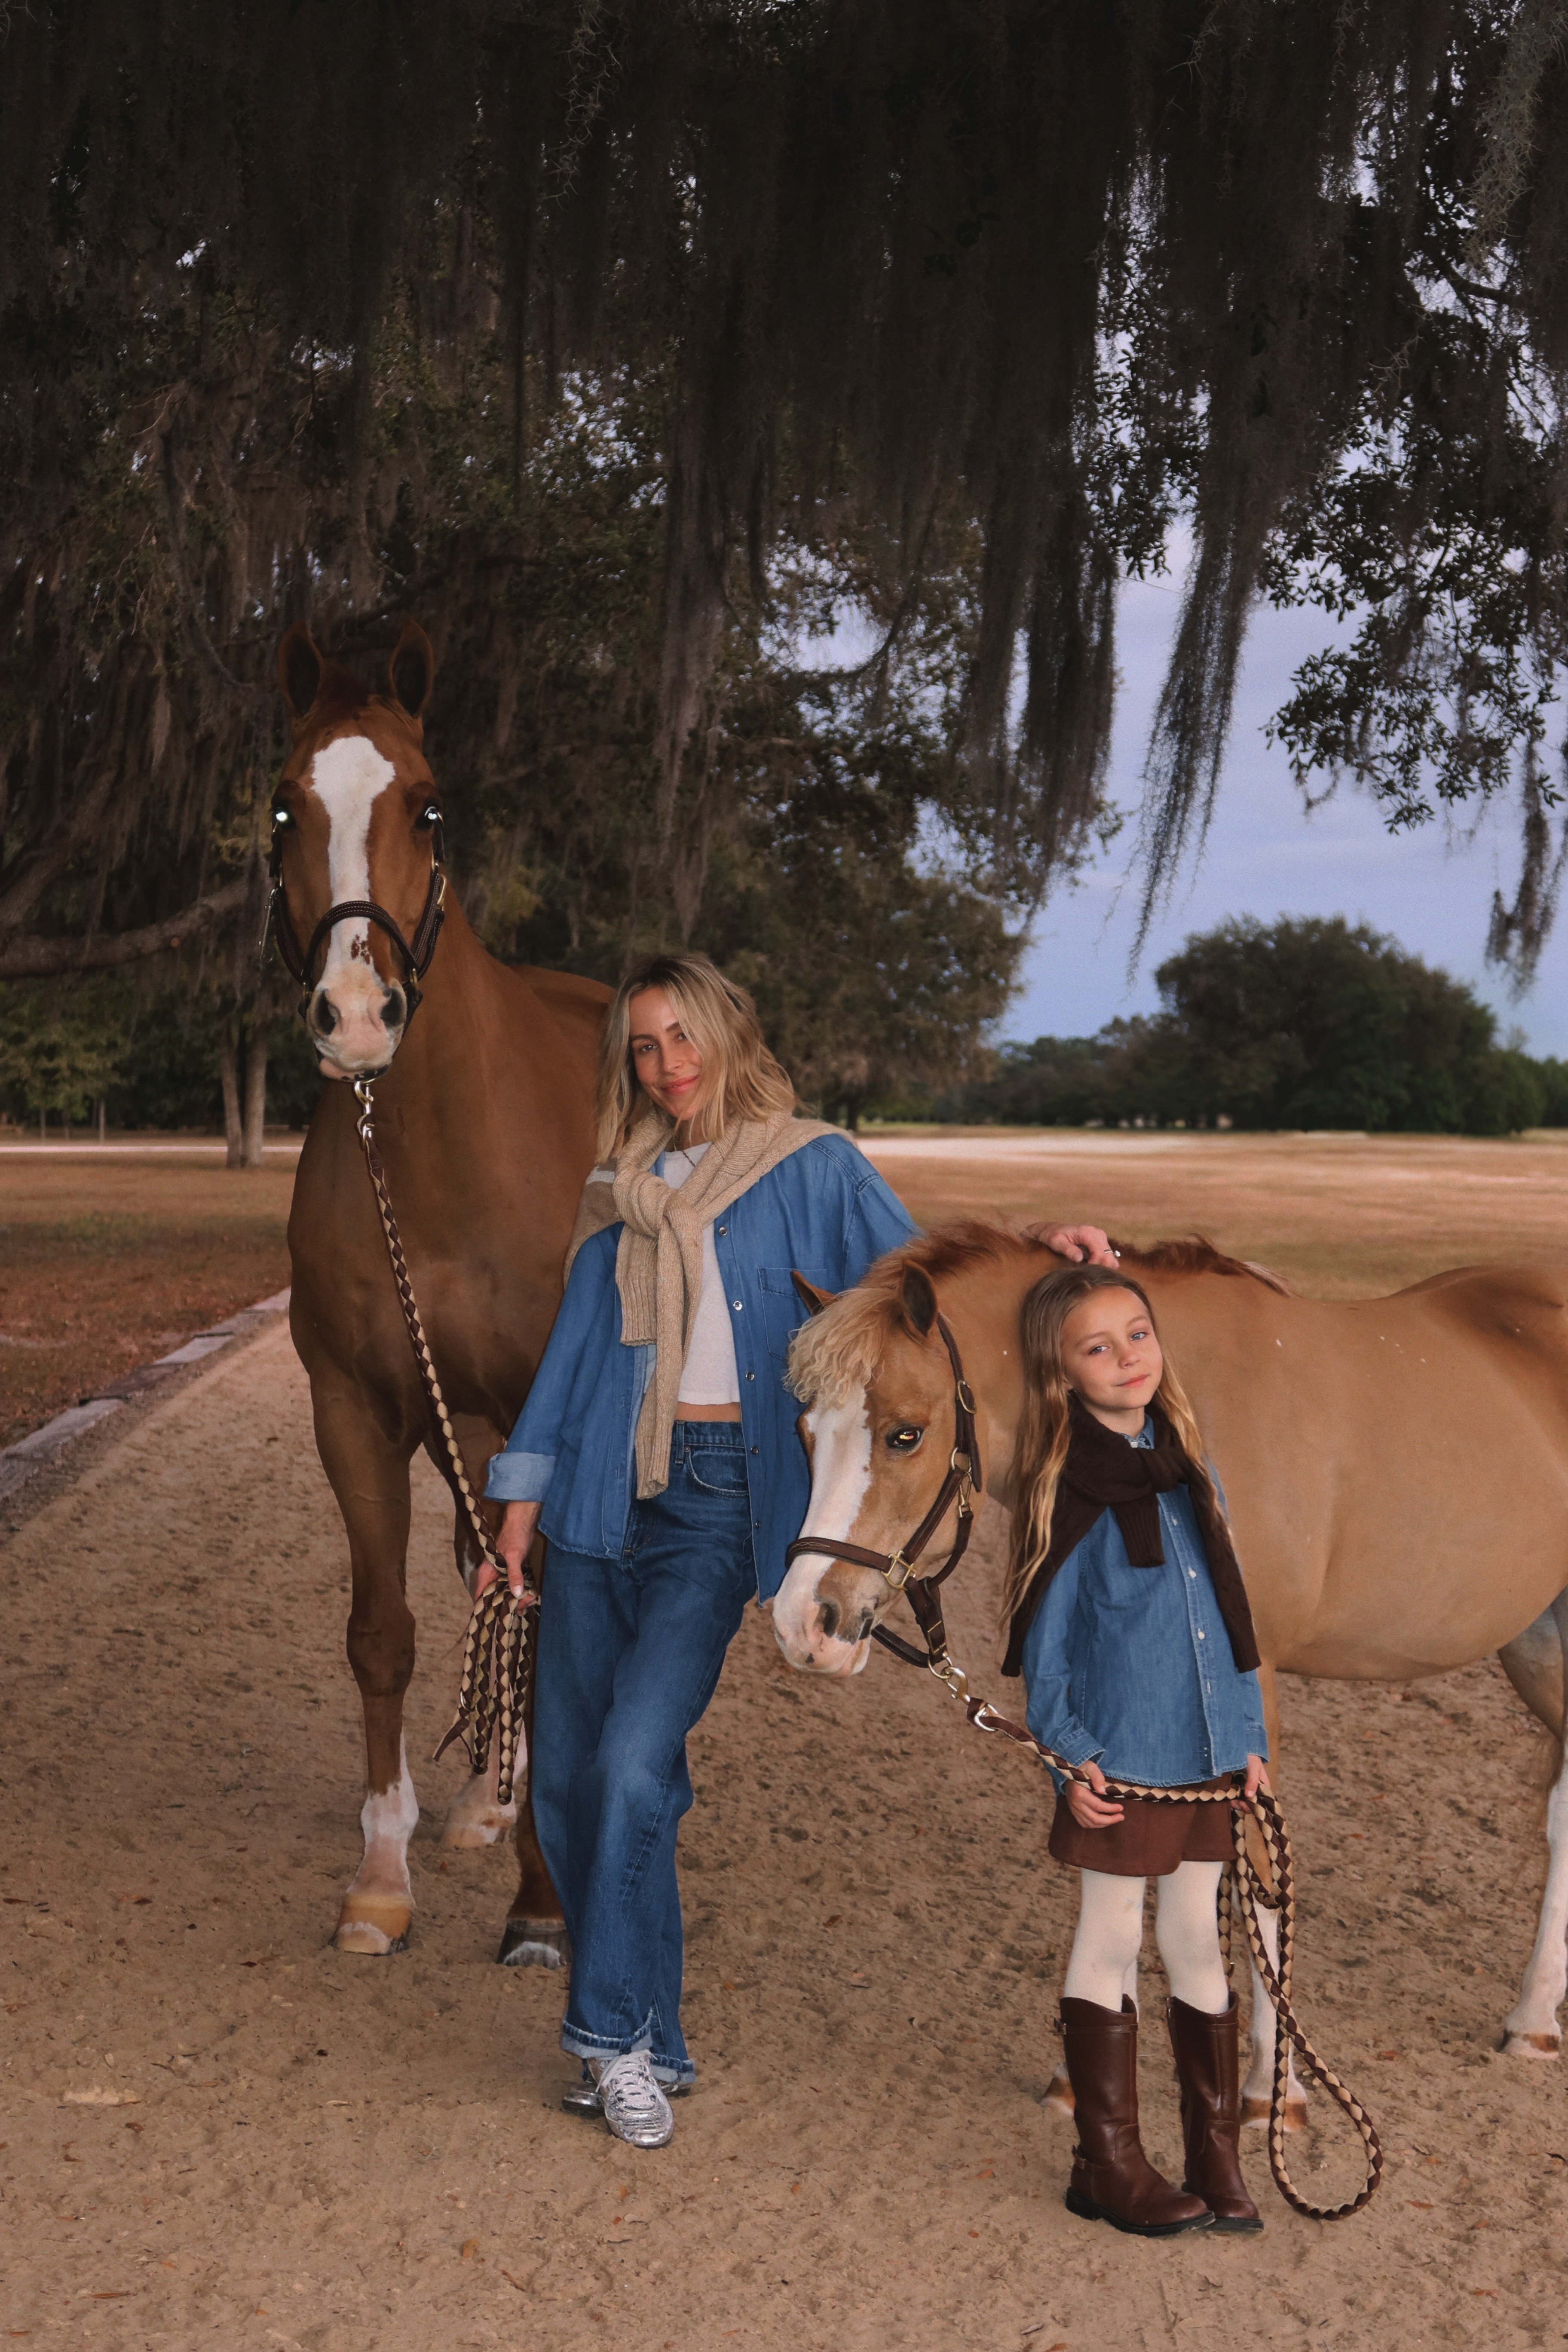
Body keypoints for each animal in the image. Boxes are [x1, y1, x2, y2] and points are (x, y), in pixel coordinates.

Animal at [271, 619, 608, 1960]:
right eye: (284, 807)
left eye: (428, 805)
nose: (359, 1015)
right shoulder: (356, 1410)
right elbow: (385, 1634)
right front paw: (382, 1874)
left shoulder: (547, 1420)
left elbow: (555, 1631)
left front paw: (545, 1900)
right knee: (481, 1578)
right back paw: (486, 1798)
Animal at [773, 1224, 1568, 2120]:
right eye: (806, 1432)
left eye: (904, 1433)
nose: (804, 1624)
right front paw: (1081, 2076)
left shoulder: (1246, 1684)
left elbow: (1258, 1874)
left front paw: (1270, 2088)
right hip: (1535, 1642)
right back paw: (1534, 2016)